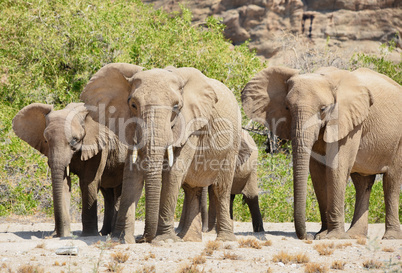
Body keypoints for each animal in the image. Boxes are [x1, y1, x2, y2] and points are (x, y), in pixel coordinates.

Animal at [12, 102, 125, 236]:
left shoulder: (99, 147)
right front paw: (63, 234)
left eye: (74, 140)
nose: (57, 234)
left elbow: (88, 183)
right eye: (46, 140)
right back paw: (104, 233)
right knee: (108, 194)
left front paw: (88, 235)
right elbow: (64, 183)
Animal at [80, 62, 240, 242]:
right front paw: (120, 239)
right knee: (193, 190)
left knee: (221, 189)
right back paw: (187, 239)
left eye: (176, 107)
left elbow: (174, 172)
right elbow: (132, 174)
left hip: (233, 143)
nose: (142, 239)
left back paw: (224, 239)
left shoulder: (191, 126)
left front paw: (164, 240)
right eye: (133, 105)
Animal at [240, 65, 400, 238]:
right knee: (363, 183)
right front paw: (322, 235)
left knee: (391, 183)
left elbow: (337, 167)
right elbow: (317, 172)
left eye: (323, 109)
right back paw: (354, 235)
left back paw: (390, 237)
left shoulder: (349, 122)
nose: (307, 236)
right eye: (287, 108)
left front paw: (334, 237)